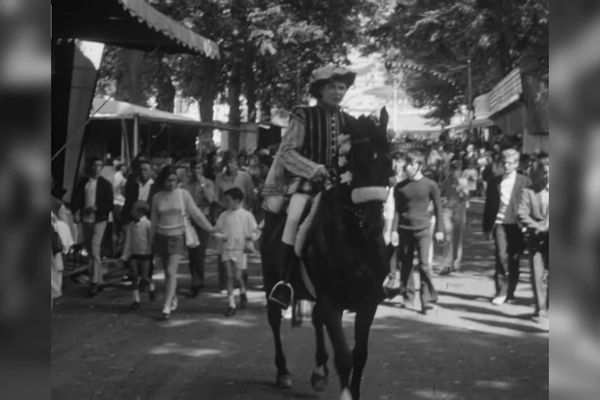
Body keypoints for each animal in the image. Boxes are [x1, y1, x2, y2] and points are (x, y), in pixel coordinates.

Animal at [258, 108, 392, 398]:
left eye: (389, 164)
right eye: (356, 163)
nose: (374, 224)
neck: (355, 243)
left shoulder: (367, 302)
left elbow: (360, 354)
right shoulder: (332, 302)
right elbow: (344, 356)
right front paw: (346, 392)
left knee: (316, 319)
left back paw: (319, 371)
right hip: (271, 279)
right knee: (274, 320)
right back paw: (283, 372)